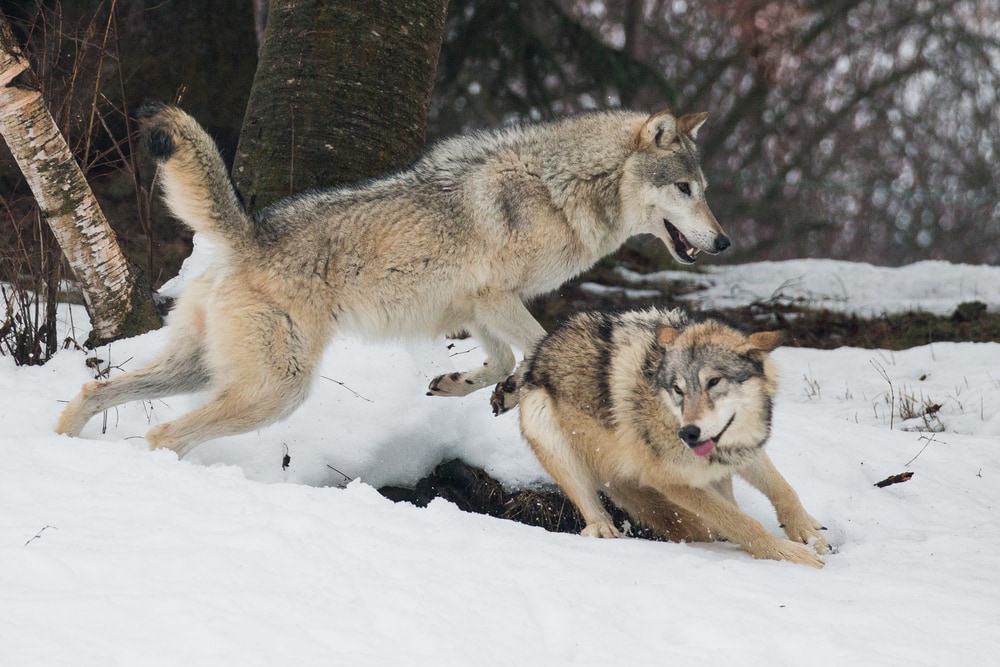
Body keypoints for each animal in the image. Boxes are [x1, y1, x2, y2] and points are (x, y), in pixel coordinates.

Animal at [56, 103, 729, 458]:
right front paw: (511, 389)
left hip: (201, 370)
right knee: (163, 433)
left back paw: (58, 445)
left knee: (96, 391)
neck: (558, 189)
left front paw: (473, 387)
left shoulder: (478, 306)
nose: (723, 242)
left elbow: (504, 356)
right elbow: (538, 344)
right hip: (276, 391)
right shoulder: (497, 297)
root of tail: (249, 229)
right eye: (684, 189)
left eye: (705, 190)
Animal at [518, 308, 829, 567]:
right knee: (592, 510)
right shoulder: (670, 481)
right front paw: (786, 554)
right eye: (678, 389)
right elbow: (739, 521)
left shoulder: (742, 450)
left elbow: (783, 489)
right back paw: (604, 530)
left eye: (713, 382)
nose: (688, 433)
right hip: (542, 422)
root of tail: (542, 348)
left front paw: (807, 532)